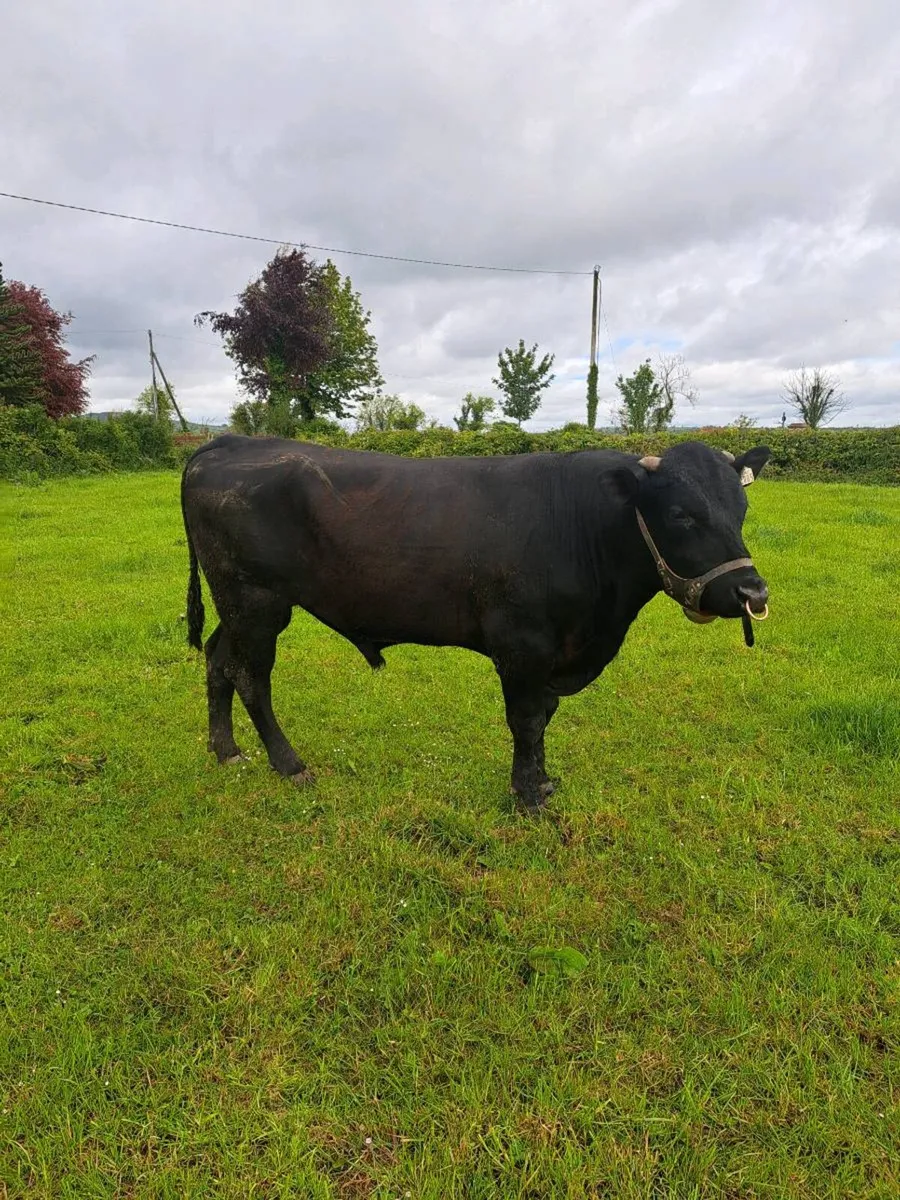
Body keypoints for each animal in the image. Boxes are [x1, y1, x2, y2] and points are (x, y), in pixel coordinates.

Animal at [180, 435, 770, 813]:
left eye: (741, 508)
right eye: (680, 514)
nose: (752, 592)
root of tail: (231, 441)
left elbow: (544, 718)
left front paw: (542, 782)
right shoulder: (522, 646)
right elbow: (527, 721)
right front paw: (528, 798)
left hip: (236, 606)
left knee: (217, 660)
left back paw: (225, 751)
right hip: (256, 602)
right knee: (251, 677)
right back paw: (288, 764)